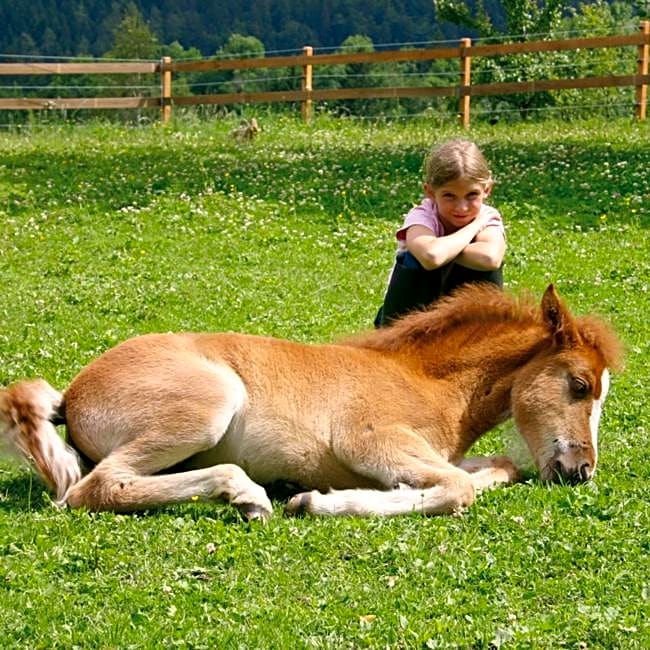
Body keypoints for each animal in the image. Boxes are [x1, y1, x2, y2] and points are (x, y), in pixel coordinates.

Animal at [0, 284, 616, 516]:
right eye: (580, 385)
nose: (581, 470)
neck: (426, 381)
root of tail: (73, 393)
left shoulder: (436, 455)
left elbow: (500, 467)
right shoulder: (374, 441)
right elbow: (457, 488)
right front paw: (316, 500)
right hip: (209, 406)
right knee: (95, 488)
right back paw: (248, 494)